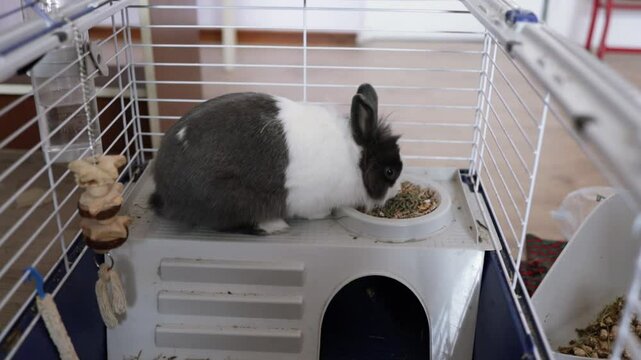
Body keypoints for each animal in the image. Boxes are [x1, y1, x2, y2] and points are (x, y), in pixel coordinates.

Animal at [150, 83, 400, 235]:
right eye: (390, 172)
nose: (397, 192)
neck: (354, 158)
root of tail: (164, 190)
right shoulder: (311, 199)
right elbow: (314, 212)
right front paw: (324, 215)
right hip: (231, 199)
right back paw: (274, 226)